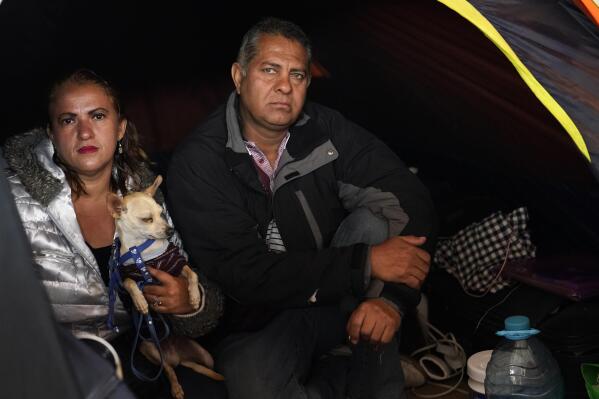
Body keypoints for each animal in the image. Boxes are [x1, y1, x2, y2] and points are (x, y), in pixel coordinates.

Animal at [107, 177, 223, 398]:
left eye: (162, 213)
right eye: (147, 219)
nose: (170, 231)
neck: (143, 252)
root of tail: (176, 357)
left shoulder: (177, 264)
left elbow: (192, 274)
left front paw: (194, 297)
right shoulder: (125, 277)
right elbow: (131, 284)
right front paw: (141, 302)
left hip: (204, 355)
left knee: (198, 365)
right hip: (149, 349)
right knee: (168, 370)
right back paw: (176, 388)